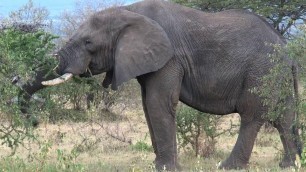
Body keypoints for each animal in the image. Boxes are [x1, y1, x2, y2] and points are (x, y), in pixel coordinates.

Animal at [19, 0, 302, 171]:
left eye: (88, 43)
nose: (33, 121)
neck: (130, 11)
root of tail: (287, 48)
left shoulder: (170, 58)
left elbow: (158, 104)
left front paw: (167, 168)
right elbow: (147, 106)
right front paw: (158, 165)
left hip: (260, 70)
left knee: (252, 114)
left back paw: (228, 166)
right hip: (276, 73)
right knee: (285, 116)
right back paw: (289, 164)